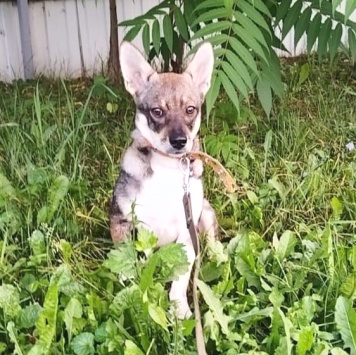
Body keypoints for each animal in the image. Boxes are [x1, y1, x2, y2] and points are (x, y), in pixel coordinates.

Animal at [110, 41, 218, 320]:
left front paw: (179, 308)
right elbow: (129, 262)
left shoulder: (186, 233)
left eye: (191, 110)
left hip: (206, 215)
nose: (179, 141)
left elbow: (179, 277)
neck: (167, 169)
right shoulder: (123, 221)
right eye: (157, 112)